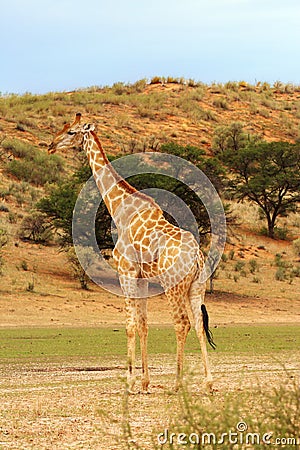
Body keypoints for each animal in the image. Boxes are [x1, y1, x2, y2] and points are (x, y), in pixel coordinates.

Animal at [48, 113, 214, 394]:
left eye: (71, 132)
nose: (50, 145)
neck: (120, 209)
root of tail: (196, 258)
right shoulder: (142, 278)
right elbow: (144, 324)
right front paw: (145, 382)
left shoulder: (125, 272)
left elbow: (129, 325)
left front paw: (130, 381)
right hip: (196, 286)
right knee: (200, 325)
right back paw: (209, 382)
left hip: (173, 285)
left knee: (182, 322)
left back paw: (177, 383)